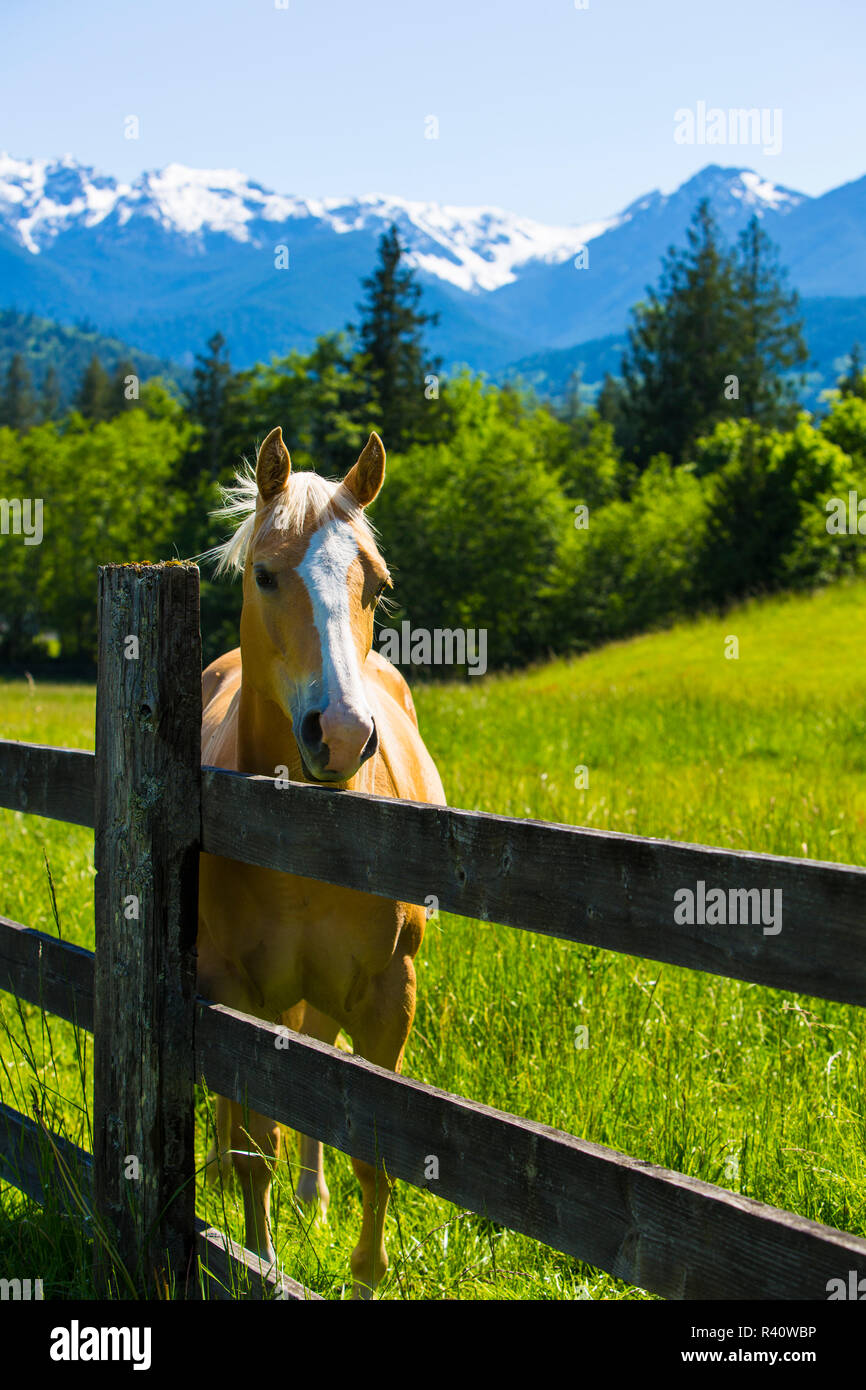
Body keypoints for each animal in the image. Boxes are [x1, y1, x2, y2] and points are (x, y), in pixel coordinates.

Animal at [198, 428, 447, 1295]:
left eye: (376, 583)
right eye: (267, 574)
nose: (340, 734)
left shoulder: (387, 992)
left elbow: (373, 1150)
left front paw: (365, 1274)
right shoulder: (237, 992)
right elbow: (253, 1149)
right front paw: (256, 1259)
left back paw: (314, 1195)